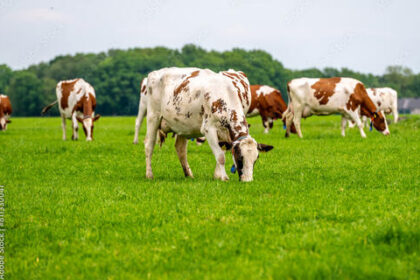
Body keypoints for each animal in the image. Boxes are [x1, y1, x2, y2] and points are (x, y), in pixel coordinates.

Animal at [144, 67, 272, 182]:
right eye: (240, 157)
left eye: (256, 159)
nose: (247, 180)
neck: (224, 93)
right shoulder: (208, 129)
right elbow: (220, 156)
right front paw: (224, 177)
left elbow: (222, 151)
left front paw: (217, 175)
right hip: (153, 116)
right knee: (149, 145)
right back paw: (149, 174)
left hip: (182, 125)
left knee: (180, 148)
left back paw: (188, 174)